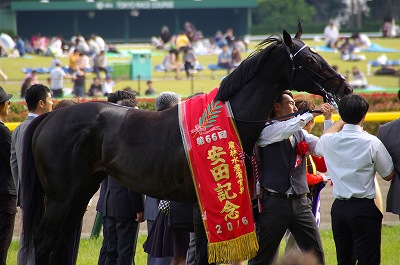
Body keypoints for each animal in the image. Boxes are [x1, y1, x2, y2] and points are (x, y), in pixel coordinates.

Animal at [22, 23, 354, 262]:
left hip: (79, 193)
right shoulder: (204, 200)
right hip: (61, 197)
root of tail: (50, 117)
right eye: (310, 59)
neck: (231, 117)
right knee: (44, 241)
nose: (345, 87)